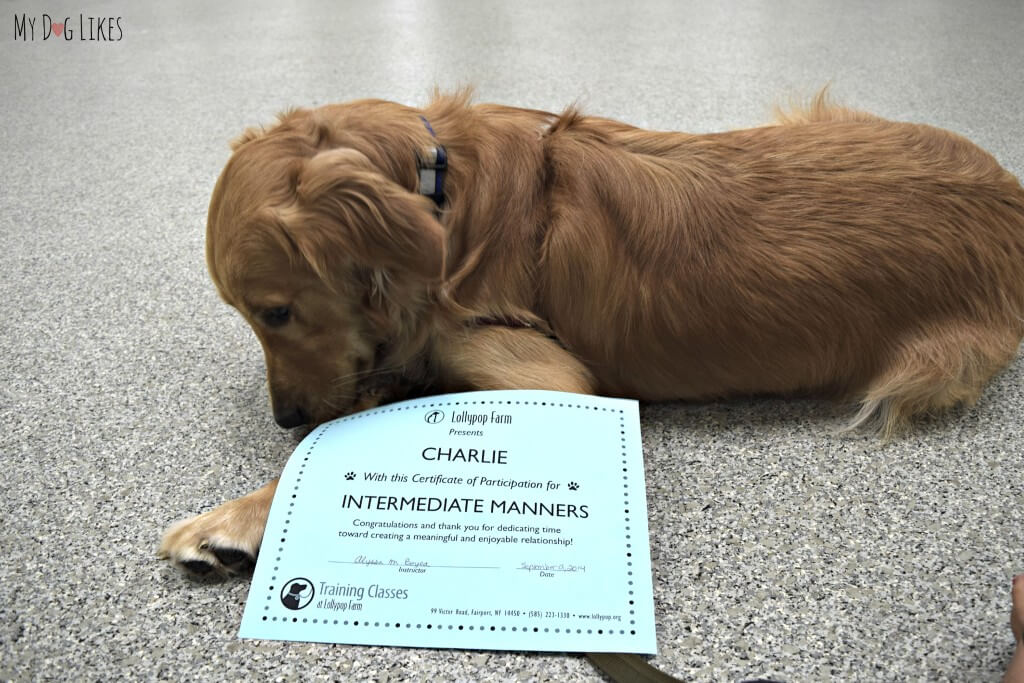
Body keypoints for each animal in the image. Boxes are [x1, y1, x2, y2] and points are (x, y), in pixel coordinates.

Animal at [157, 88, 1024, 573]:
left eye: (275, 312)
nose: (285, 417)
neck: (444, 198)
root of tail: (1010, 196)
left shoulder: (552, 379)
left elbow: (363, 436)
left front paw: (236, 520)